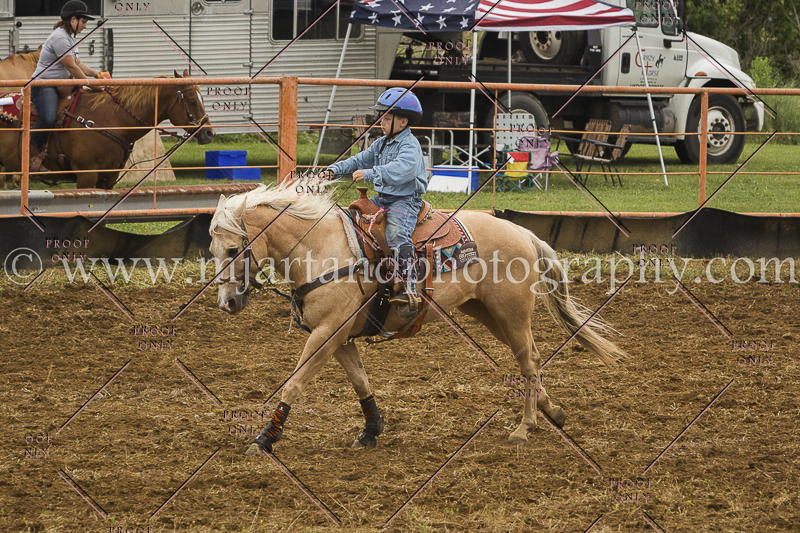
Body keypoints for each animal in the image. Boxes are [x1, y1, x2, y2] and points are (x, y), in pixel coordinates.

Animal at [208, 179, 628, 454]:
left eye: (232, 249)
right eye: (212, 250)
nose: (226, 303)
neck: (319, 247)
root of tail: (523, 232)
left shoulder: (326, 334)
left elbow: (293, 384)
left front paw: (265, 438)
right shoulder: (337, 337)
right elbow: (360, 382)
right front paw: (371, 430)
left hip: (511, 313)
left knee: (528, 362)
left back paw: (524, 428)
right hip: (488, 313)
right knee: (531, 360)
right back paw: (550, 411)